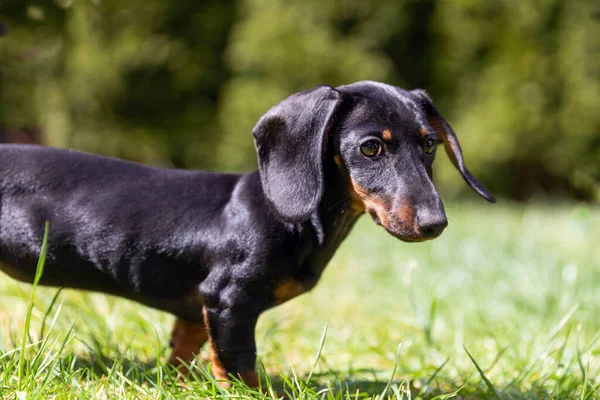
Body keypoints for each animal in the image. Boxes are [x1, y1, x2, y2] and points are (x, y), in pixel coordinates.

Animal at [0, 82, 492, 388]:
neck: (290, 219)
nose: (435, 223)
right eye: (371, 147)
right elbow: (239, 363)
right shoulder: (229, 299)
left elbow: (185, 350)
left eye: (429, 144)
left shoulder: (197, 309)